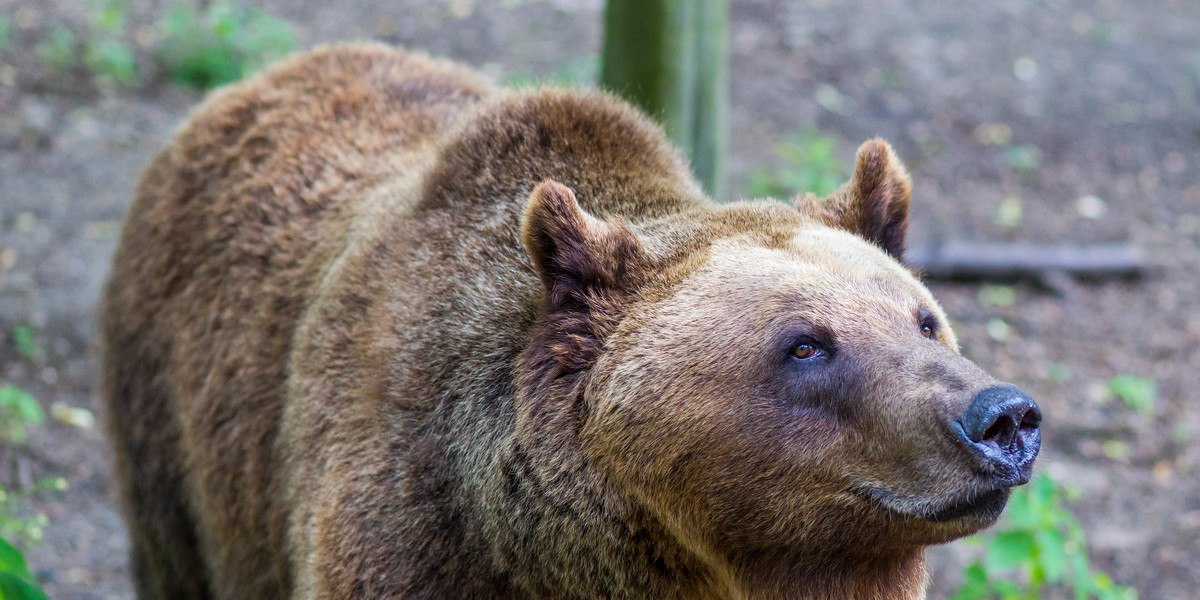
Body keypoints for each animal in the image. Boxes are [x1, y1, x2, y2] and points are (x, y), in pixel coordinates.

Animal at [103, 44, 1041, 600]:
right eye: (805, 345)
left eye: (924, 321)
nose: (1002, 417)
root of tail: (261, 79)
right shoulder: (408, 537)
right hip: (180, 444)